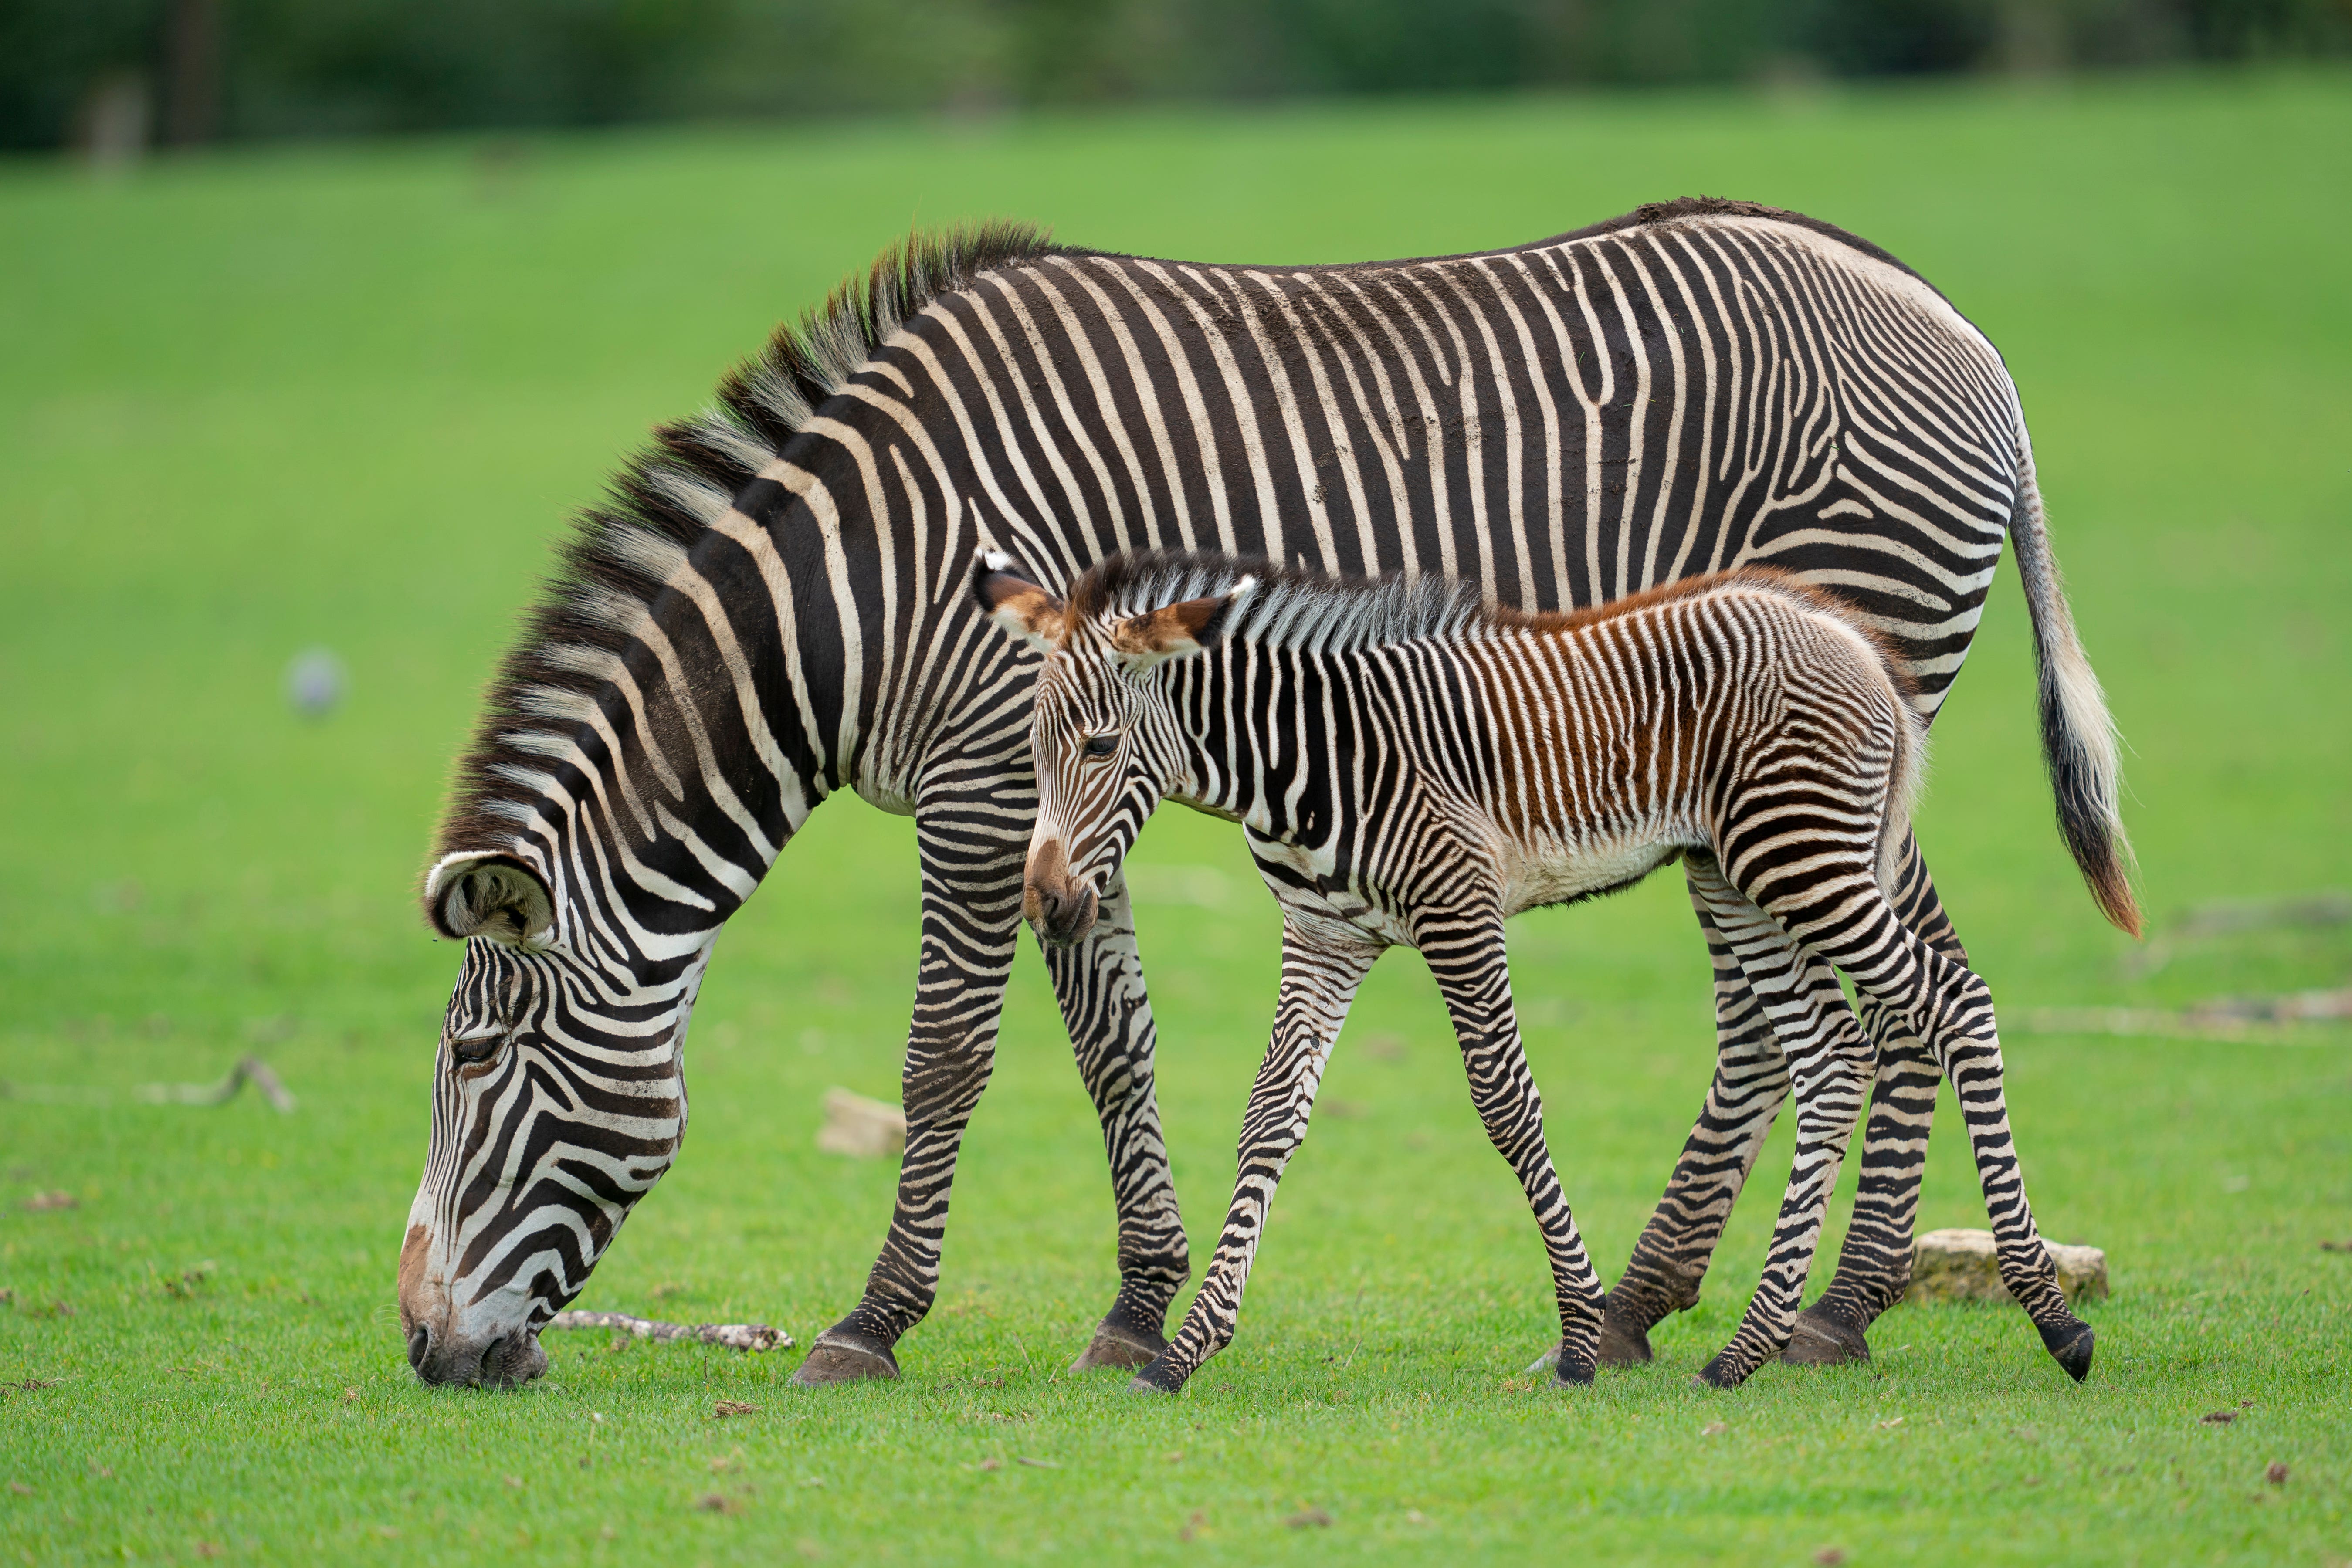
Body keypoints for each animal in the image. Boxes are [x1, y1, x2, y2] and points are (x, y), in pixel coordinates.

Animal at [978, 545, 2098, 1392]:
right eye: (1029, 751)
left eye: (1098, 743)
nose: (1049, 905)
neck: (1311, 759)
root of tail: (1849, 636)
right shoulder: (1324, 938)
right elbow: (1268, 1117)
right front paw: (1187, 1348)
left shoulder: (1459, 911)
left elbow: (1506, 1105)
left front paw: (1576, 1337)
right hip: (1739, 873)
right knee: (1831, 1059)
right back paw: (1745, 1348)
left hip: (1803, 858)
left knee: (1954, 1004)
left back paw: (2054, 1319)